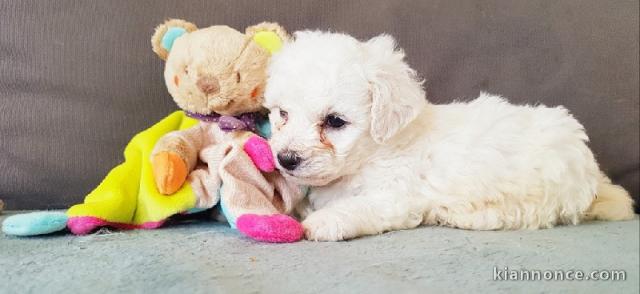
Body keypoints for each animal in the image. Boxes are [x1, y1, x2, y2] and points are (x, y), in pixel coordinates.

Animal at [264, 30, 636, 241]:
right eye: (282, 114)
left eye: (335, 121)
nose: (286, 159)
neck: (374, 153)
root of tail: (592, 174)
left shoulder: (397, 196)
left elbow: (360, 207)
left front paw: (323, 222)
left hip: (542, 189)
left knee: (528, 215)